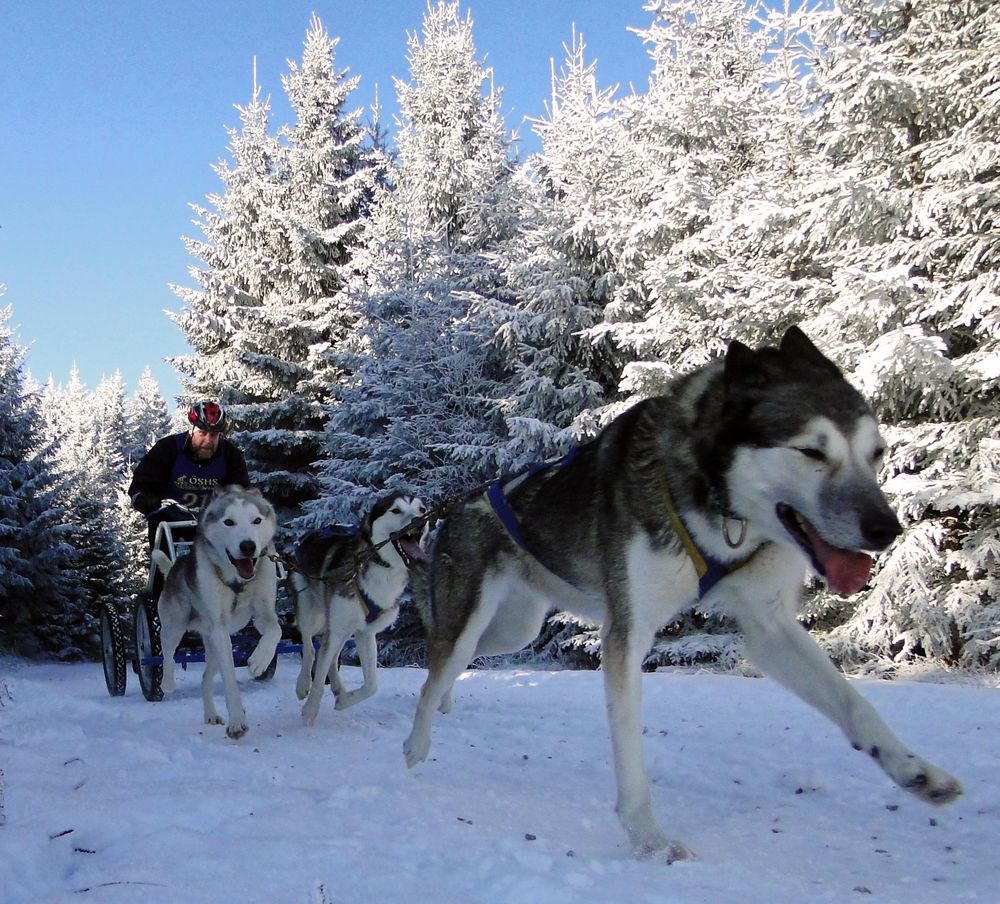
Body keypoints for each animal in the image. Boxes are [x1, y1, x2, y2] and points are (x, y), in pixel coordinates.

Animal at [152, 484, 280, 740]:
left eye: (257, 520)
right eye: (228, 522)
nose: (248, 546)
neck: (237, 580)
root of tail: (173, 569)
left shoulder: (263, 612)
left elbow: (275, 629)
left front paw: (260, 660)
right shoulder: (219, 627)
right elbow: (229, 679)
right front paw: (237, 722)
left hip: (211, 644)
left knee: (205, 678)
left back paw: (210, 714)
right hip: (176, 625)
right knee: (167, 653)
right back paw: (168, 682)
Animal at [292, 490, 428, 724]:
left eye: (421, 509)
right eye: (396, 510)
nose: (421, 520)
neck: (381, 566)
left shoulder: (366, 633)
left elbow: (372, 686)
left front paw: (345, 701)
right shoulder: (338, 628)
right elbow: (318, 678)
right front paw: (310, 709)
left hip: (343, 627)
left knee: (331, 657)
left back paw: (339, 688)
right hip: (311, 613)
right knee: (309, 648)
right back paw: (302, 685)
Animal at [402, 326, 964, 860]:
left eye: (877, 453)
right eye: (811, 451)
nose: (886, 529)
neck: (716, 508)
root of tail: (457, 508)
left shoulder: (768, 627)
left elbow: (854, 703)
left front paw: (915, 770)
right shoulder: (628, 633)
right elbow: (630, 748)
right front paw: (649, 840)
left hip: (513, 629)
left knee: (452, 667)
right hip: (472, 619)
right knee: (435, 673)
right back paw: (415, 744)